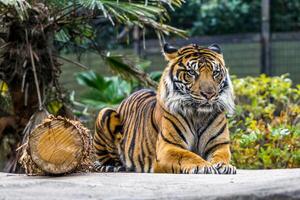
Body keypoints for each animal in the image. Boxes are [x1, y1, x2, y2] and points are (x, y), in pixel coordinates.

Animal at [94, 43, 237, 173]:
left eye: (215, 73)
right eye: (192, 72)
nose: (209, 94)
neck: (198, 115)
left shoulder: (219, 144)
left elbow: (221, 156)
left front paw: (225, 166)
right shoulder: (168, 147)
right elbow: (188, 155)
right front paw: (203, 166)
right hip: (105, 112)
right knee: (104, 159)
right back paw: (115, 166)